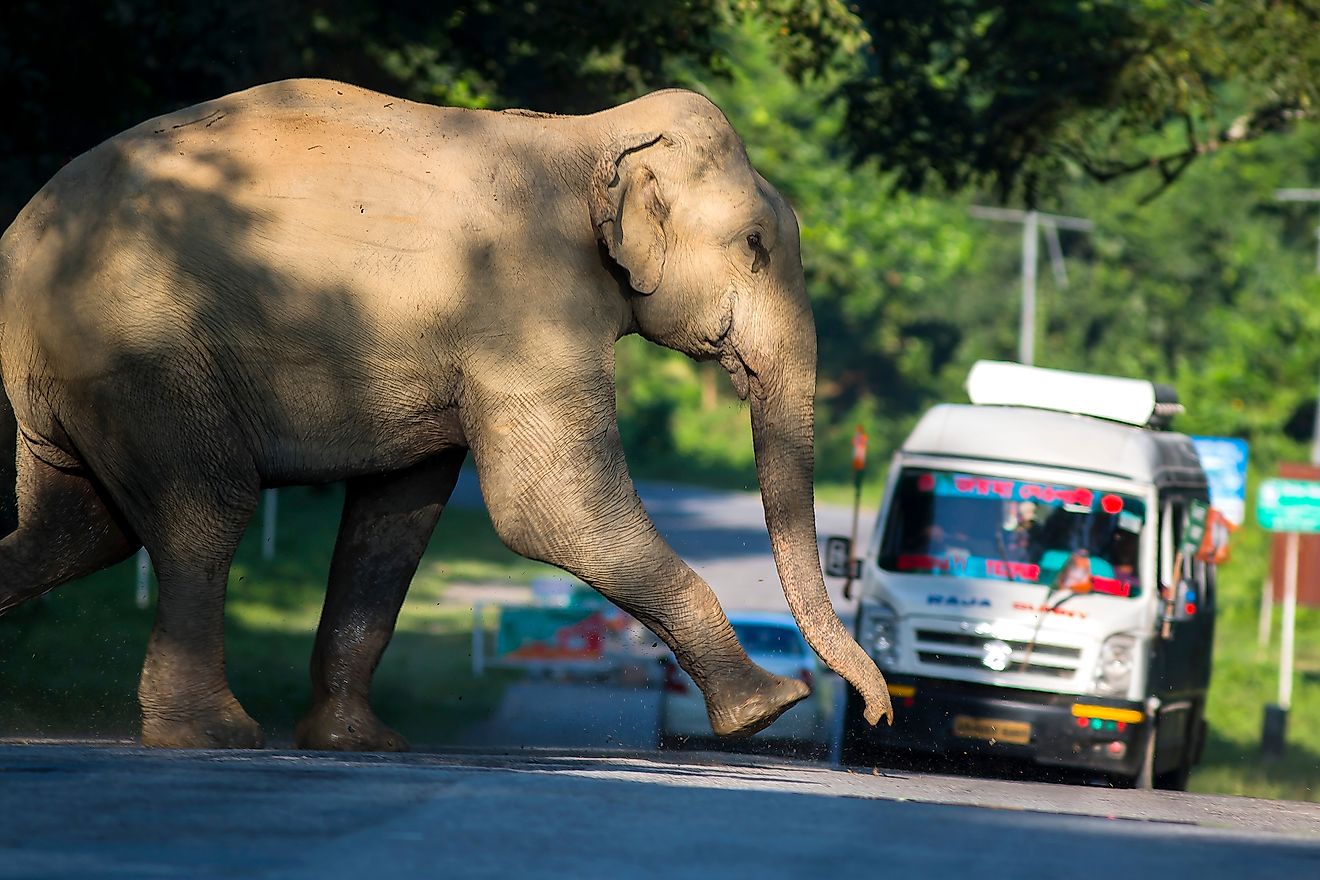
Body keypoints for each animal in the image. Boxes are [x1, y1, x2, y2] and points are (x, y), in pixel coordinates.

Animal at [0, 77, 892, 749]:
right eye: (754, 245)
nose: (879, 711)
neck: (589, 137)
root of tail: (21, 240)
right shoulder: (524, 302)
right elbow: (551, 509)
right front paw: (765, 709)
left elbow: (398, 519)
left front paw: (357, 744)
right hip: (145, 362)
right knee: (199, 515)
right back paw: (211, 736)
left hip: (79, 382)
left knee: (76, 530)